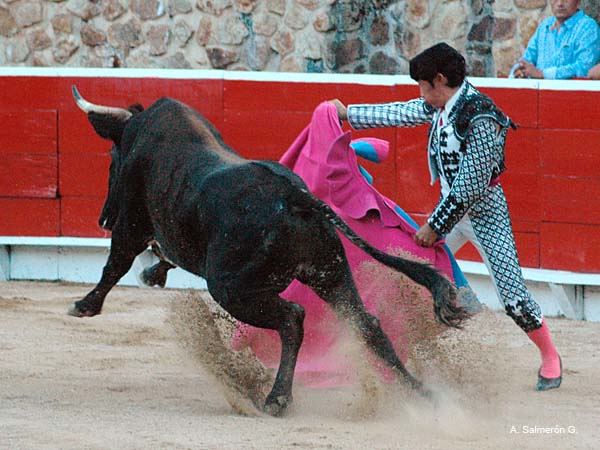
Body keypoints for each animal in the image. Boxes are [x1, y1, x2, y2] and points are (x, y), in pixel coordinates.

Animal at [68, 87, 466, 414]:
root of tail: (296, 196)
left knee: (292, 318)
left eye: (112, 158)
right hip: (330, 272)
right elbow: (159, 256)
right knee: (366, 323)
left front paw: (85, 305)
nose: (103, 217)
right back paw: (420, 393)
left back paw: (276, 399)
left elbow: (116, 264)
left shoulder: (132, 224)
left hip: (231, 288)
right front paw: (151, 274)